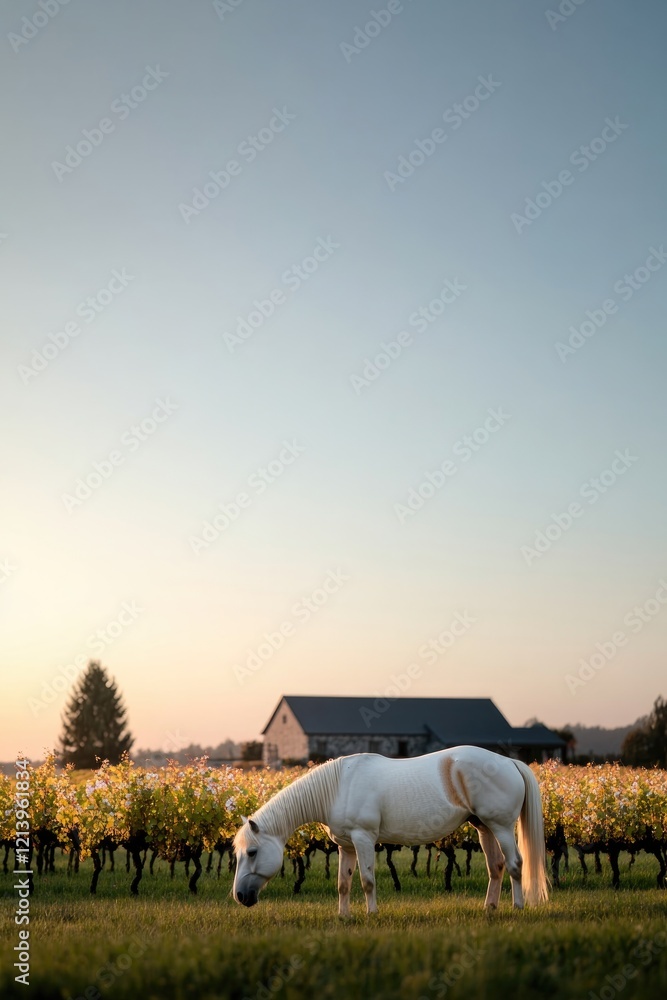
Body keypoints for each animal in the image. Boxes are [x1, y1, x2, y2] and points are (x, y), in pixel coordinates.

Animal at [233, 746, 549, 914]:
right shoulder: (346, 845)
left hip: (502, 827)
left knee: (515, 864)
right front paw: (343, 916)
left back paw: (517, 907)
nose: (240, 896)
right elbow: (343, 883)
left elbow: (367, 880)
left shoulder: (363, 839)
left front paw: (371, 914)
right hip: (484, 827)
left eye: (252, 852)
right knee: (496, 867)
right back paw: (489, 909)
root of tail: (509, 761)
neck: (338, 787)